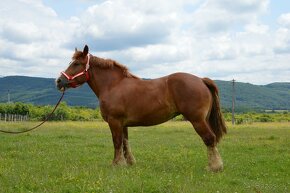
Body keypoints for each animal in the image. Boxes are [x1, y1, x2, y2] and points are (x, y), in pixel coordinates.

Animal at [56, 45, 227, 172]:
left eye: (76, 64)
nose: (59, 81)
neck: (113, 85)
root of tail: (201, 80)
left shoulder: (114, 121)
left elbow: (117, 142)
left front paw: (117, 164)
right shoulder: (122, 124)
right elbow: (125, 143)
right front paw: (129, 163)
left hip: (197, 120)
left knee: (209, 139)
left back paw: (214, 167)